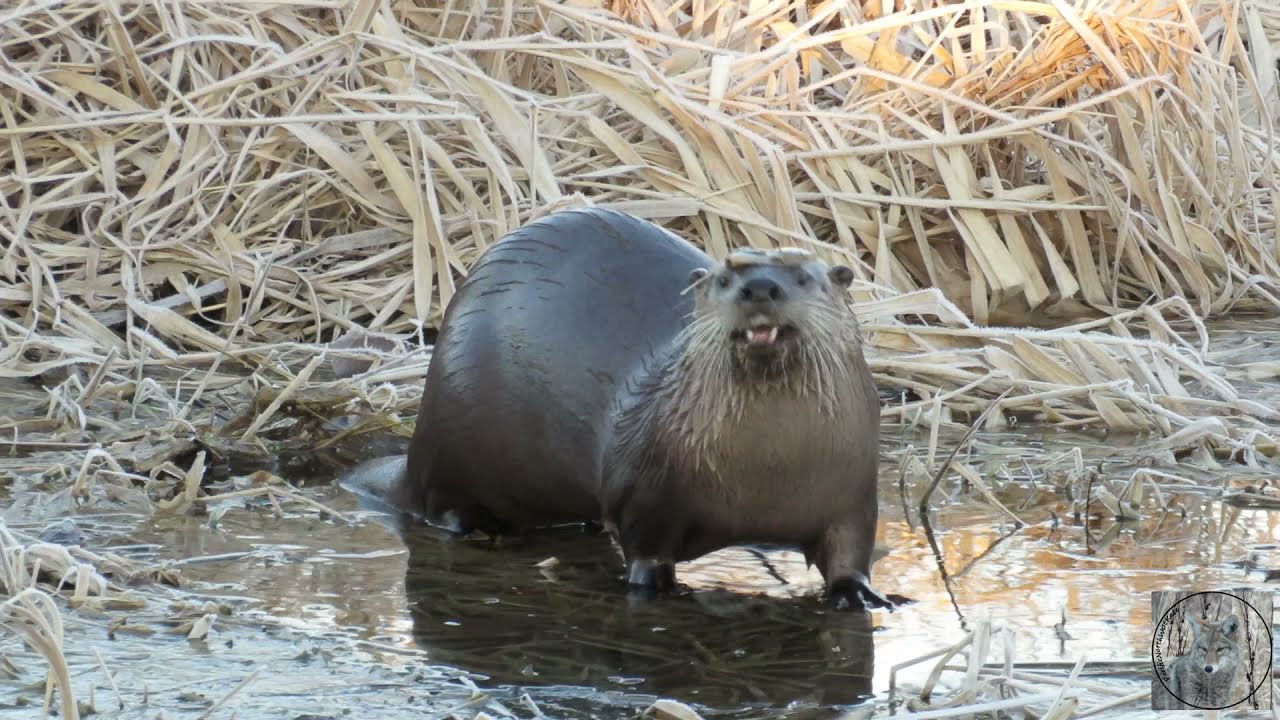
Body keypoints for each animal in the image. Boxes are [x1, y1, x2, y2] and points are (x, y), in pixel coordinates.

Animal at [392, 207, 904, 611]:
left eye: (803, 276)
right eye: (724, 278)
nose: (760, 287)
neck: (770, 466)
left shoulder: (854, 494)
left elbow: (850, 550)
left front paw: (860, 593)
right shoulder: (645, 486)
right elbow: (645, 543)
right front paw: (654, 584)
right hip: (451, 434)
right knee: (441, 503)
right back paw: (474, 529)